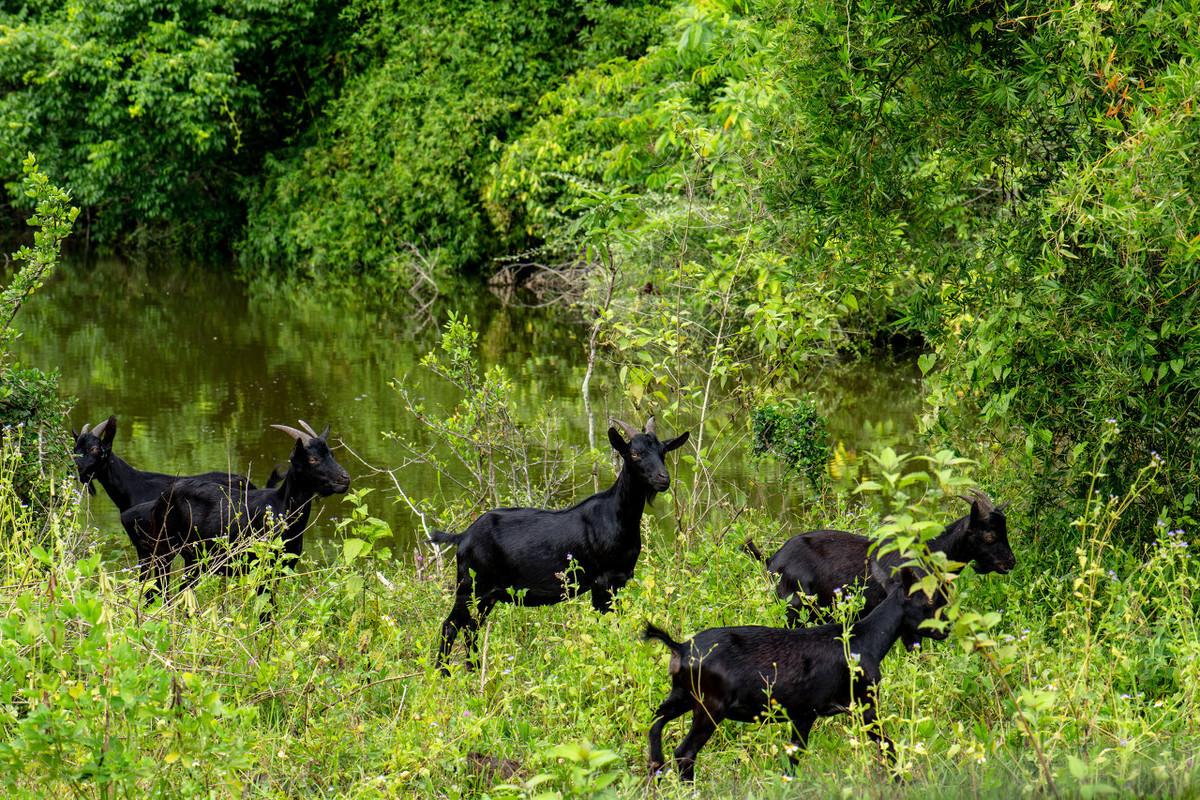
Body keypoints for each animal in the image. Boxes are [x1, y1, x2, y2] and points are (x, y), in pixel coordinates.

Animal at [71, 417, 254, 597]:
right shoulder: (145, 549)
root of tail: (248, 482)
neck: (134, 487)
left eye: (94, 448)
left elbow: (158, 588)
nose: (76, 466)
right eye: (75, 448)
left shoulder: (159, 548)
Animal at [141, 422, 350, 604]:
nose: (345, 479)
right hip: (164, 548)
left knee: (184, 589)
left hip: (194, 559)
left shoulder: (280, 569)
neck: (280, 507)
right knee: (159, 588)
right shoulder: (262, 567)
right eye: (313, 459)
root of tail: (163, 497)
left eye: (331, 454)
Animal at [432, 417, 691, 671]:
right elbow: (605, 626)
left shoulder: (619, 581)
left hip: (487, 595)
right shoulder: (602, 581)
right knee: (450, 626)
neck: (618, 517)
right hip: (470, 586)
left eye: (663, 452)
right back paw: (442, 674)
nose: (663, 479)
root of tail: (463, 536)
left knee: (471, 628)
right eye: (634, 454)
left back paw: (473, 669)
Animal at [648, 566, 945, 786]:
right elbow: (887, 745)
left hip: (682, 696)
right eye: (929, 600)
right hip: (710, 705)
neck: (867, 641)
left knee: (655, 726)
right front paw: (902, 782)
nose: (945, 631)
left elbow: (793, 759)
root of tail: (680, 648)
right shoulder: (860, 703)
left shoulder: (802, 713)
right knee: (684, 753)